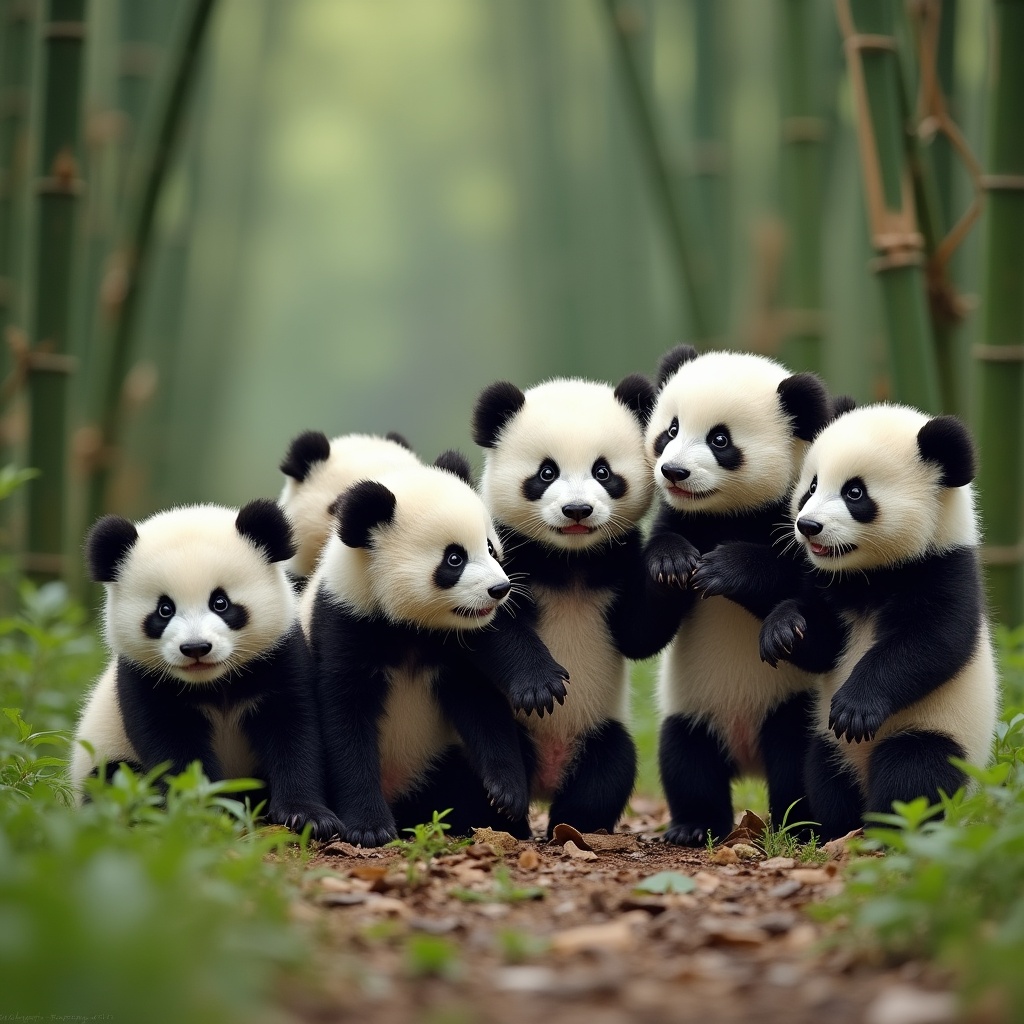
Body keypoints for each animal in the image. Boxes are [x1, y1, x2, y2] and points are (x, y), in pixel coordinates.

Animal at [71, 500, 342, 840]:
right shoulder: (142, 677)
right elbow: (173, 746)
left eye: (220, 603)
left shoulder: (279, 657)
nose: (196, 647)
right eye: (164, 609)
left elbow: (294, 730)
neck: (214, 683)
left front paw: (306, 816)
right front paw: (203, 810)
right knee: (113, 779)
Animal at [302, 451, 556, 847]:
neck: (408, 627)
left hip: (439, 758)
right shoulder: (344, 623)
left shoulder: (455, 648)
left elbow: (482, 705)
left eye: (490, 547)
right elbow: (345, 720)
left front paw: (507, 794)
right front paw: (369, 827)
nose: (499, 589)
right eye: (454, 559)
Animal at [472, 374, 681, 835]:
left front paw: (672, 567)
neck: (570, 560)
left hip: (599, 731)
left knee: (609, 769)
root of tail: (546, 779)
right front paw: (541, 686)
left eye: (603, 472)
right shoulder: (503, 549)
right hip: (510, 725)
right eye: (546, 472)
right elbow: (488, 620)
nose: (577, 510)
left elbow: (637, 634)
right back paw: (505, 814)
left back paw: (575, 826)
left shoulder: (619, 560)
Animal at [645, 345, 831, 846]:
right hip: (691, 710)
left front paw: (726, 571)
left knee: (793, 759)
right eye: (671, 429)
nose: (674, 471)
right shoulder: (679, 518)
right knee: (686, 760)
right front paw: (672, 564)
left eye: (720, 440)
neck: (723, 516)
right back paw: (693, 826)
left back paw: (795, 827)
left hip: (791, 703)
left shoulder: (799, 517)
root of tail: (746, 755)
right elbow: (650, 626)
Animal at [748, 403, 1000, 840]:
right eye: (811, 487)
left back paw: (889, 831)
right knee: (825, 774)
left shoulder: (945, 572)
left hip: (939, 728)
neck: (873, 575)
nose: (807, 526)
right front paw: (783, 631)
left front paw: (855, 708)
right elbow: (823, 647)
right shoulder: (833, 588)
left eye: (855, 493)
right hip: (827, 742)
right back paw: (834, 831)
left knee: (914, 775)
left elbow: (930, 644)